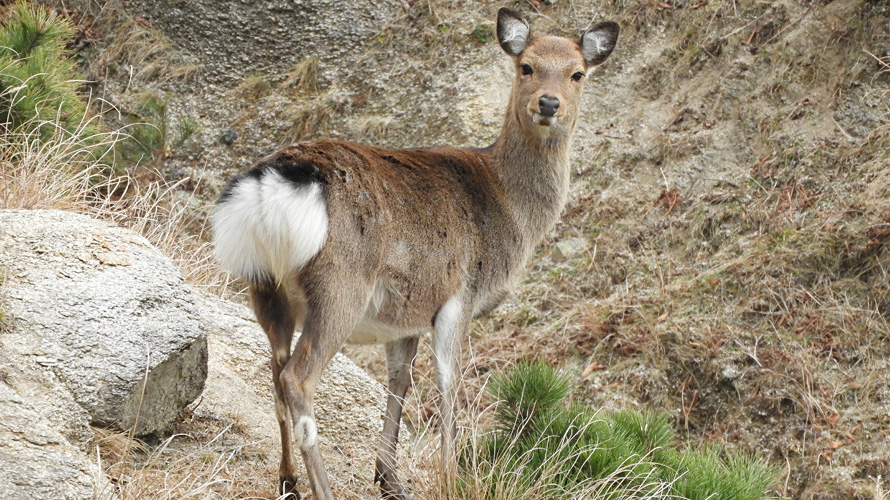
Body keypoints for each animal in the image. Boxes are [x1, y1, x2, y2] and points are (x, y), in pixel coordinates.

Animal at [212, 8, 620, 500]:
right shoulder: (460, 293)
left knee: (274, 372)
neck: (510, 207)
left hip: (264, 287)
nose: (548, 103)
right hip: (340, 286)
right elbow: (448, 384)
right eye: (527, 66)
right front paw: (452, 478)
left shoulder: (405, 313)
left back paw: (287, 480)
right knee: (297, 377)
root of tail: (273, 187)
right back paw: (321, 487)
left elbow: (399, 381)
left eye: (577, 73)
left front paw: (389, 478)